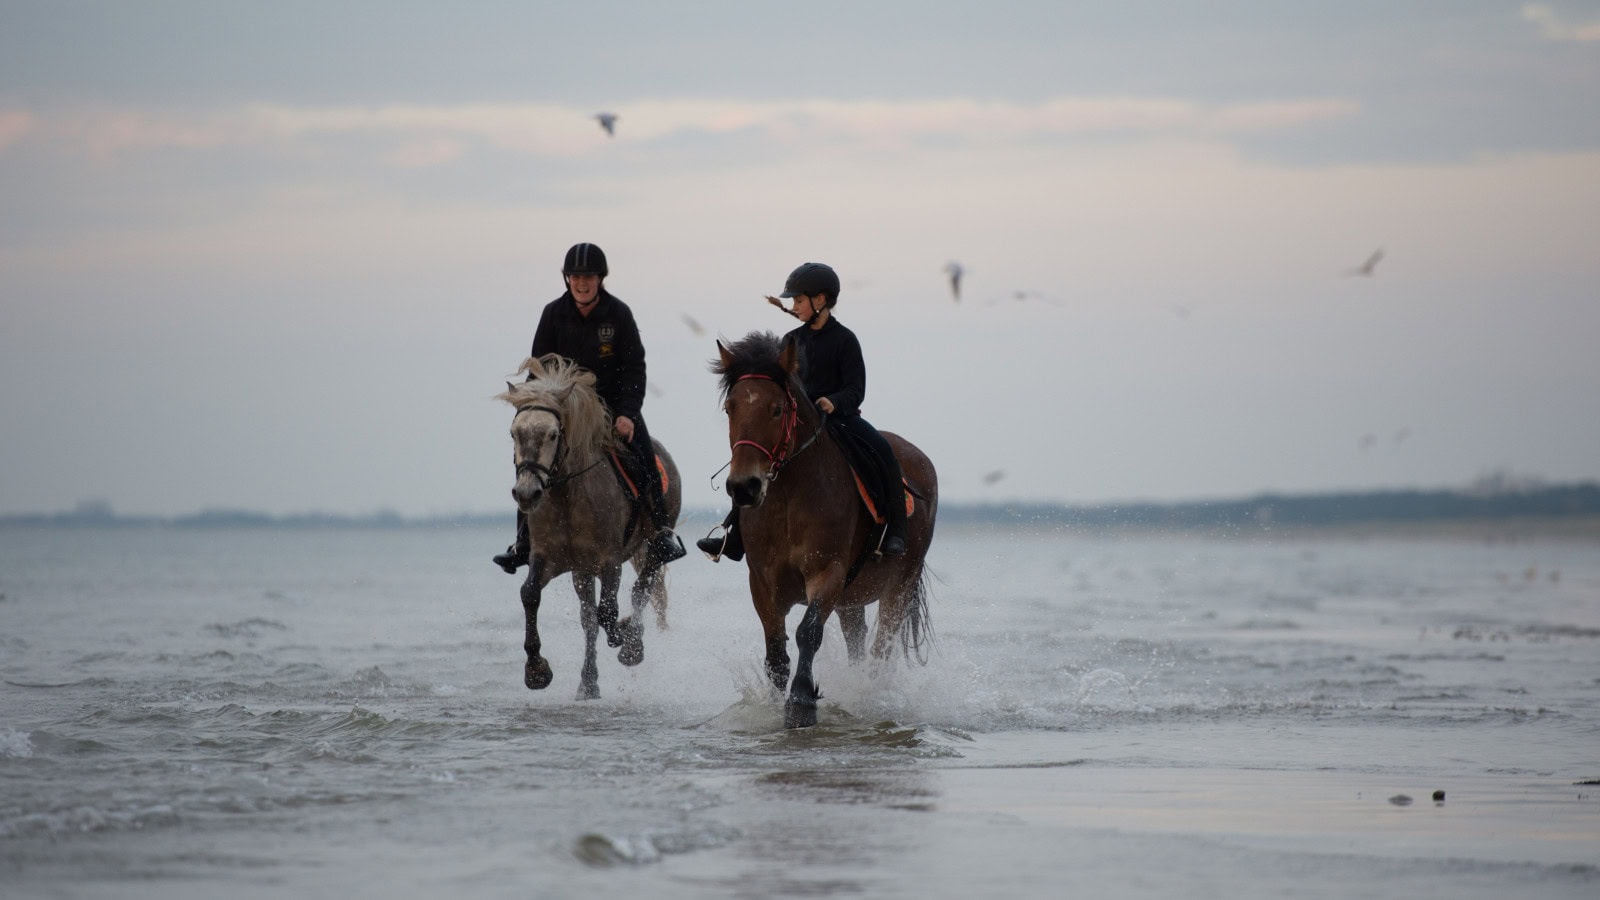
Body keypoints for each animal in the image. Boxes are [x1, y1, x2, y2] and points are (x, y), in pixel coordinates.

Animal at [496, 353, 678, 698]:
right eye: (513, 433)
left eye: (553, 434)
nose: (526, 493)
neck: (568, 497)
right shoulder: (547, 558)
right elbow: (531, 594)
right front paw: (536, 670)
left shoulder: (609, 561)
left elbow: (609, 612)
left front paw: (627, 637)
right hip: (582, 570)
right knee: (589, 619)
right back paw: (588, 683)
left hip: (650, 543)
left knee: (644, 586)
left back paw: (631, 644)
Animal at [713, 333, 934, 723]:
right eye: (730, 408)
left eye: (777, 409)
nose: (744, 487)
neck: (787, 500)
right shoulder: (763, 582)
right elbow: (776, 653)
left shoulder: (826, 572)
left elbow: (809, 632)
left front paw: (801, 702)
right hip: (851, 600)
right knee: (857, 639)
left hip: (899, 588)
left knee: (881, 649)